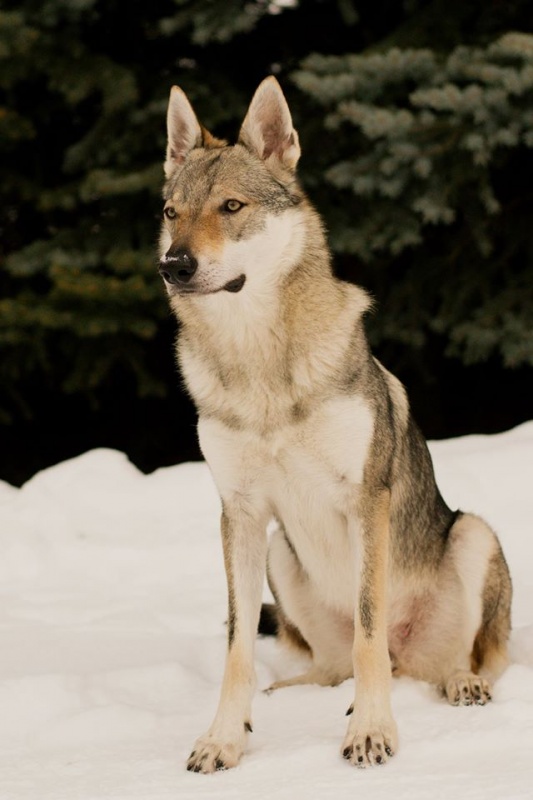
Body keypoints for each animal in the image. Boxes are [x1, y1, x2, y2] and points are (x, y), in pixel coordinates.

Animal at [157, 78, 512, 772]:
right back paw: (292, 691)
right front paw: (224, 738)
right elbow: (238, 648)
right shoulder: (240, 514)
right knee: (329, 668)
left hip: (473, 536)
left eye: (231, 207)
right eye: (171, 212)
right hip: (278, 553)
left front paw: (371, 733)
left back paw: (462, 684)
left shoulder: (365, 502)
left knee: (455, 660)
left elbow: (369, 635)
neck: (261, 366)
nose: (173, 266)